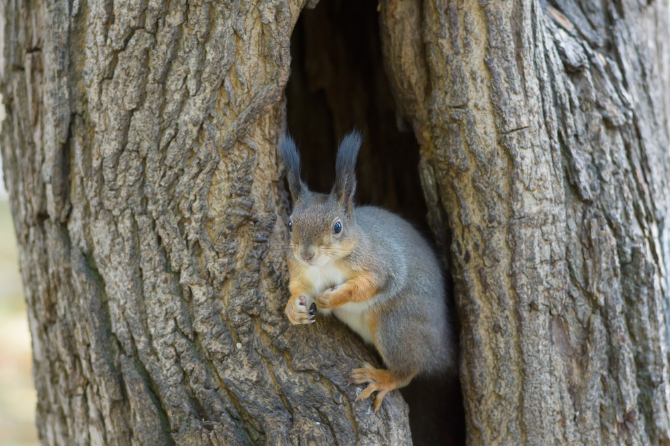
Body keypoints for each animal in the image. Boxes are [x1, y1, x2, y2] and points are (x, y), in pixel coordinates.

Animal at [280, 129, 454, 412]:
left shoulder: (383, 263)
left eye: (337, 227)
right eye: (290, 223)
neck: (325, 265)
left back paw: (383, 379)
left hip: (396, 325)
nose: (307, 254)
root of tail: (440, 350)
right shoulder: (299, 269)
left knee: (409, 370)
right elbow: (298, 288)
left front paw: (334, 298)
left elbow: (371, 283)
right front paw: (293, 308)